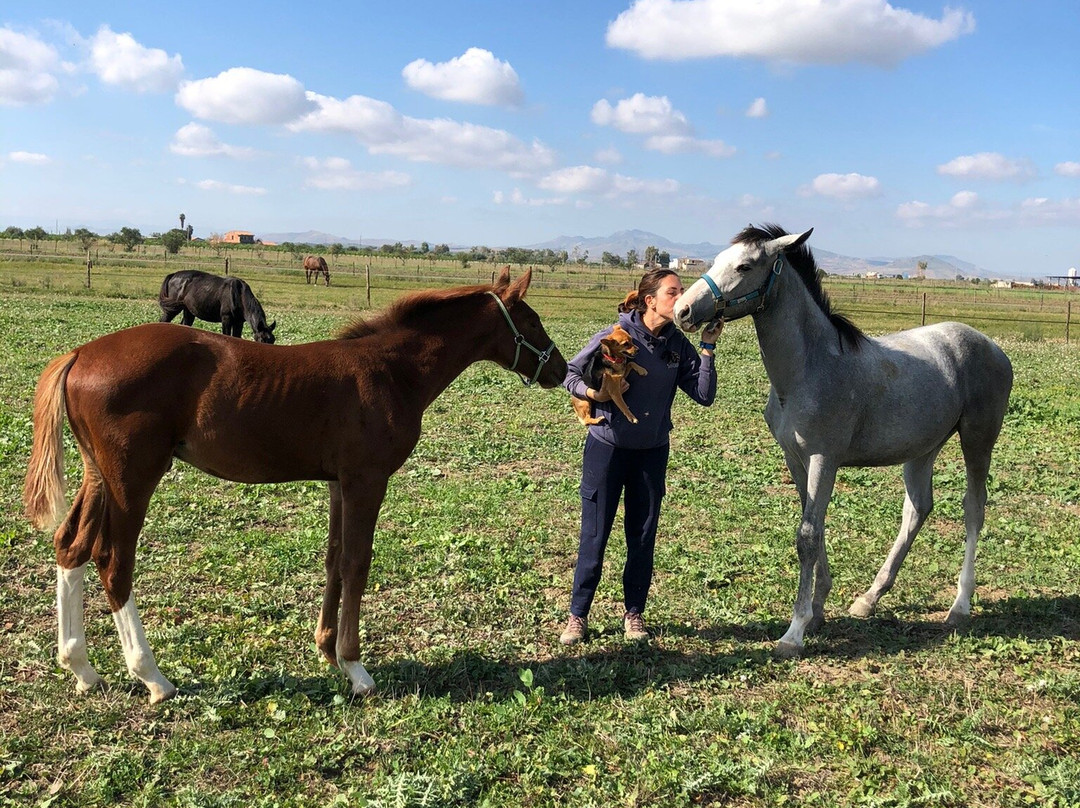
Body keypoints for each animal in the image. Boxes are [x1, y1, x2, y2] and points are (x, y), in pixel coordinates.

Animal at [23, 267, 565, 704]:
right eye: (533, 322)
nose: (561, 369)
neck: (392, 371)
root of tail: (79, 353)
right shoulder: (367, 479)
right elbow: (357, 562)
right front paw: (356, 668)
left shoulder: (338, 482)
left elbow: (334, 559)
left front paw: (327, 651)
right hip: (133, 475)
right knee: (113, 562)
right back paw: (152, 677)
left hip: (99, 475)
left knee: (70, 545)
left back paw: (81, 668)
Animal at [673, 222, 1010, 656]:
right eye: (716, 260)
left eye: (745, 265)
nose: (682, 310)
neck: (809, 369)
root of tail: (993, 347)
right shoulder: (796, 459)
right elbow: (812, 527)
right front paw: (817, 610)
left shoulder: (823, 459)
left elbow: (807, 536)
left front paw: (794, 631)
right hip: (922, 450)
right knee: (917, 509)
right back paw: (869, 598)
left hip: (977, 440)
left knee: (973, 510)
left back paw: (959, 606)